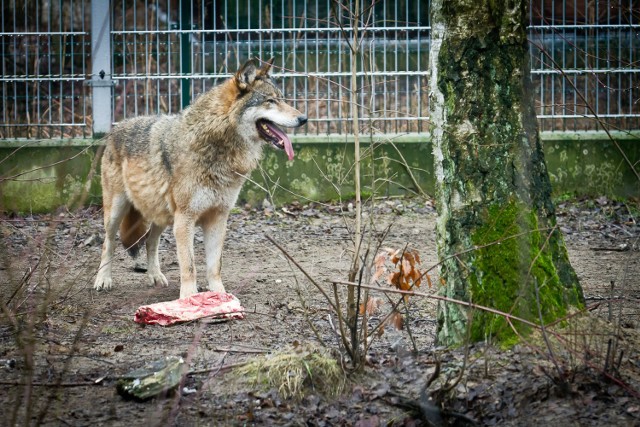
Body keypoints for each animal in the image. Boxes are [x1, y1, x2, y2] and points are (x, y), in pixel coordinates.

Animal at [93, 58, 310, 300]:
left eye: (282, 99)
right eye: (270, 101)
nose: (304, 118)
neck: (218, 146)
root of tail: (117, 127)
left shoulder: (218, 218)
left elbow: (214, 265)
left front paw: (220, 294)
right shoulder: (185, 219)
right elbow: (189, 266)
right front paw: (189, 298)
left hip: (162, 216)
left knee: (150, 241)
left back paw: (155, 277)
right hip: (117, 212)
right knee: (108, 243)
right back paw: (103, 280)